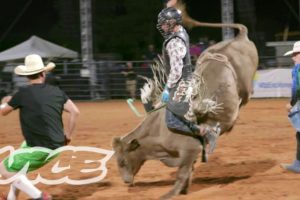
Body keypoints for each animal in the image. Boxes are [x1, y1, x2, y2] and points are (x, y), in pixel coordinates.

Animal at [112, 9, 258, 200]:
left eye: (122, 160)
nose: (126, 181)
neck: (158, 132)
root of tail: (240, 37)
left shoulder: (190, 150)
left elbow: (182, 174)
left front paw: (170, 194)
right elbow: (188, 173)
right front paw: (184, 189)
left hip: (246, 84)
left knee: (245, 96)